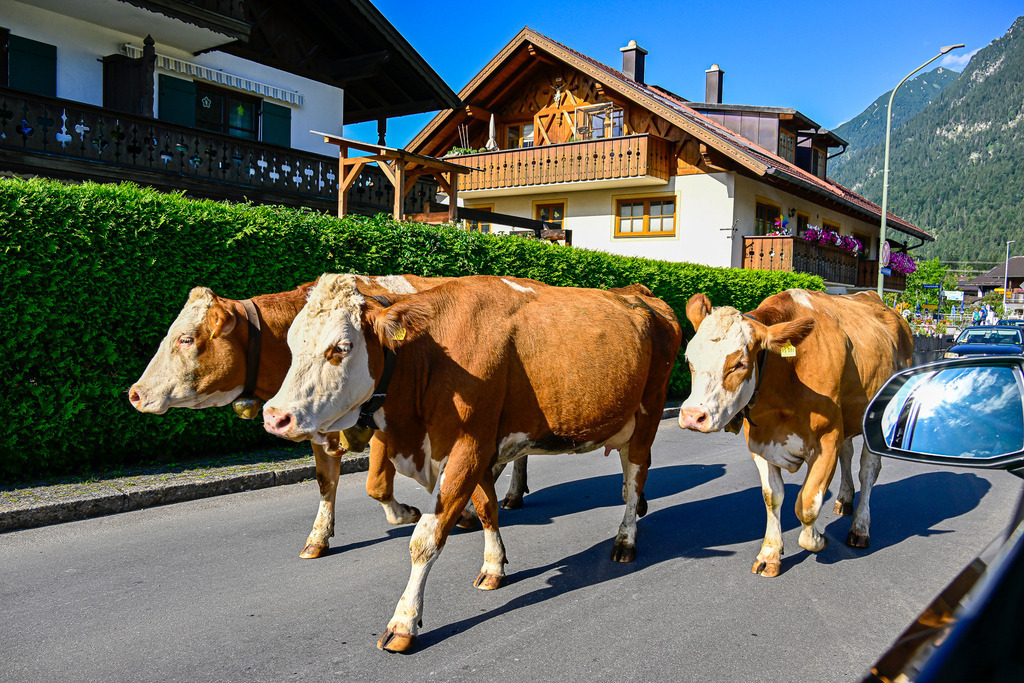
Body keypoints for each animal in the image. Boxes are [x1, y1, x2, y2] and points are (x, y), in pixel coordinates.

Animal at [262, 274, 682, 652]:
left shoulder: (469, 448)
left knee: (635, 475)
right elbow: (485, 508)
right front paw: (494, 566)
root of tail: (639, 293)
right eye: (291, 344)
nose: (275, 416)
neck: (431, 356)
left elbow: (425, 540)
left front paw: (403, 623)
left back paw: (626, 538)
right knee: (631, 476)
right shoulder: (480, 446)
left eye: (341, 347)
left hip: (648, 412)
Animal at [678, 289, 913, 578]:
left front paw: (817, 539)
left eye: (740, 364)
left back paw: (860, 527)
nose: (692, 416)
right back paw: (845, 500)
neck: (786, 372)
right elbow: (772, 497)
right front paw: (770, 553)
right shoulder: (760, 444)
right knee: (848, 454)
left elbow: (807, 504)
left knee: (868, 471)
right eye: (689, 360)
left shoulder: (827, 440)